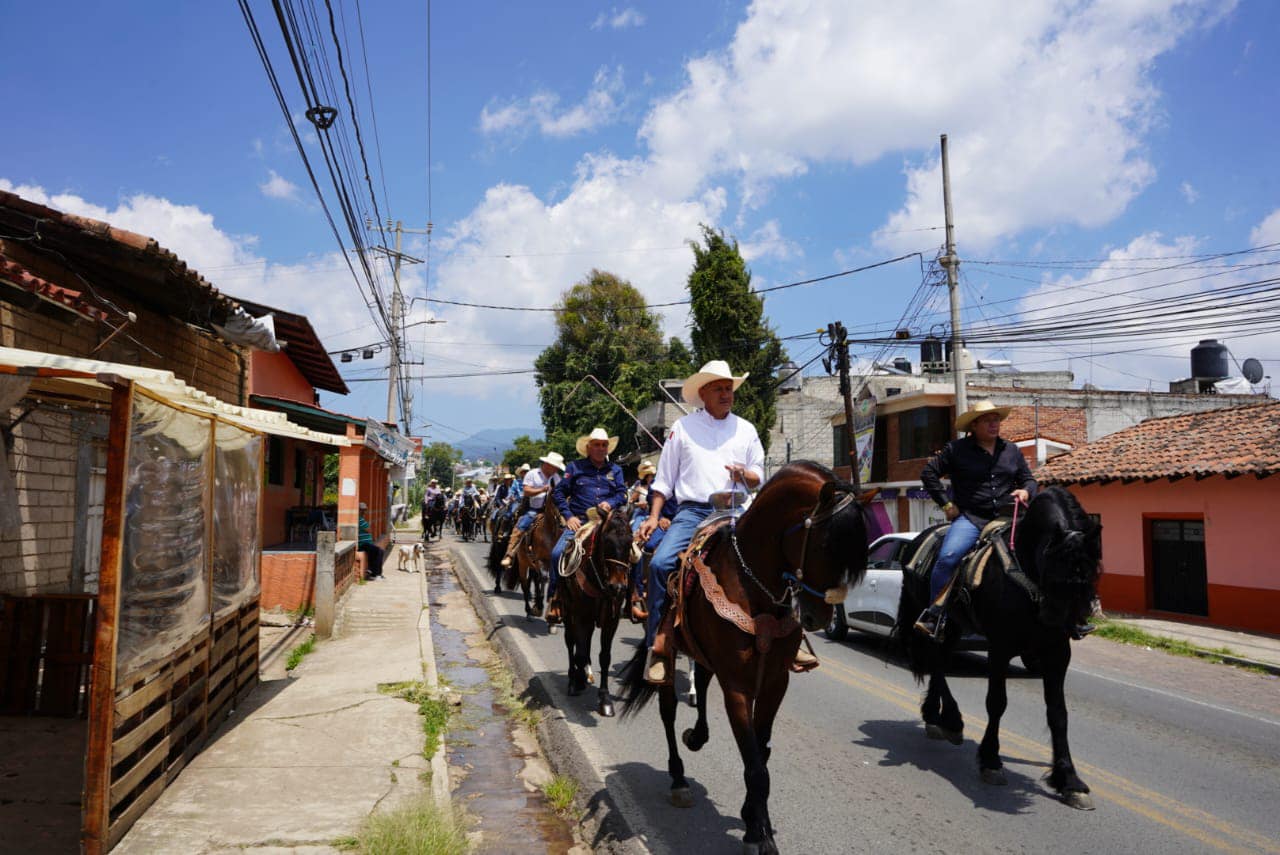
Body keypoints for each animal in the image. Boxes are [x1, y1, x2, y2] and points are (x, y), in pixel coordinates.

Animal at [560, 506, 634, 716]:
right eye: (607, 541)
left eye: (630, 541)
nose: (618, 587)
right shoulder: (579, 616)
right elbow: (579, 653)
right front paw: (578, 679)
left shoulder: (611, 620)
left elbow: (604, 657)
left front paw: (605, 699)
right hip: (568, 613)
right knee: (571, 643)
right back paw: (573, 679)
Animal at [619, 463, 870, 849]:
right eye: (825, 544)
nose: (820, 617)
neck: (756, 589)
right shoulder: (737, 686)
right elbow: (754, 765)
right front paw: (760, 836)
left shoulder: (775, 682)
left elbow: (761, 754)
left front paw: (752, 817)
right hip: (669, 653)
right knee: (667, 712)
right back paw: (678, 778)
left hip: (705, 654)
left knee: (701, 682)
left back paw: (697, 736)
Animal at [896, 483, 1105, 814]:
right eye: (1051, 565)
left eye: (1090, 575)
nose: (1054, 620)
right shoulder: (1001, 647)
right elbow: (997, 702)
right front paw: (991, 760)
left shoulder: (1057, 652)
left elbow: (1058, 713)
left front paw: (1069, 780)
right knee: (935, 661)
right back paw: (950, 719)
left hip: (954, 626)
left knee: (939, 661)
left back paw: (936, 717)